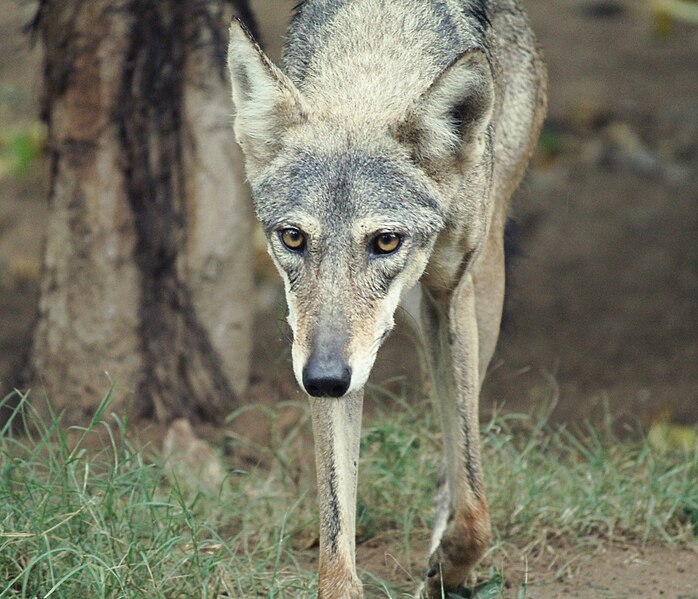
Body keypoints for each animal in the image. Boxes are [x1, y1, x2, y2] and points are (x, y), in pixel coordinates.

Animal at [227, 1, 544, 596]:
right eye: (293, 238)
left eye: (386, 241)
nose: (325, 378)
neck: (376, 46)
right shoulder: (324, 353)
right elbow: (336, 544)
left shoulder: (450, 296)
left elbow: (474, 503)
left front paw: (447, 566)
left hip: (482, 286)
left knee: (459, 441)